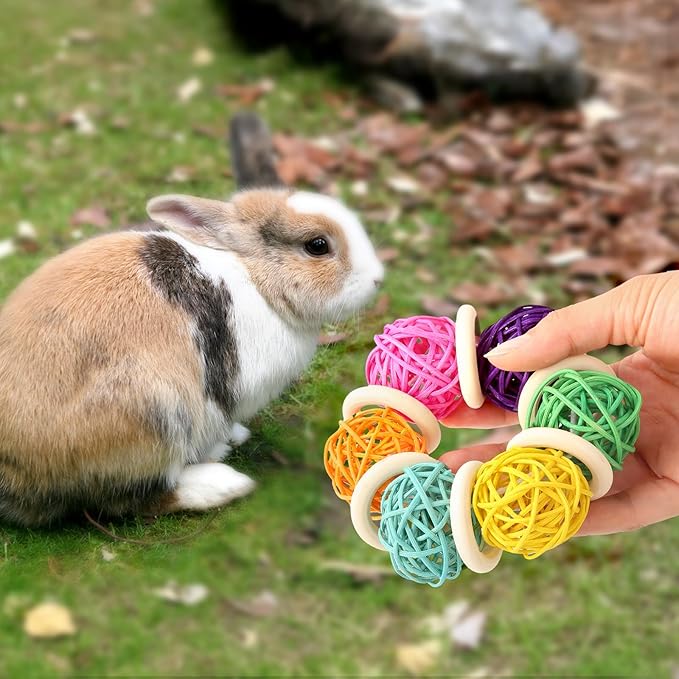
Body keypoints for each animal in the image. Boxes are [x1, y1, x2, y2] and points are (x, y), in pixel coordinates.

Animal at [0, 188, 384, 526]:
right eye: (317, 245)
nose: (378, 279)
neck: (257, 280)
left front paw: (234, 436)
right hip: (154, 413)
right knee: (130, 499)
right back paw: (224, 483)